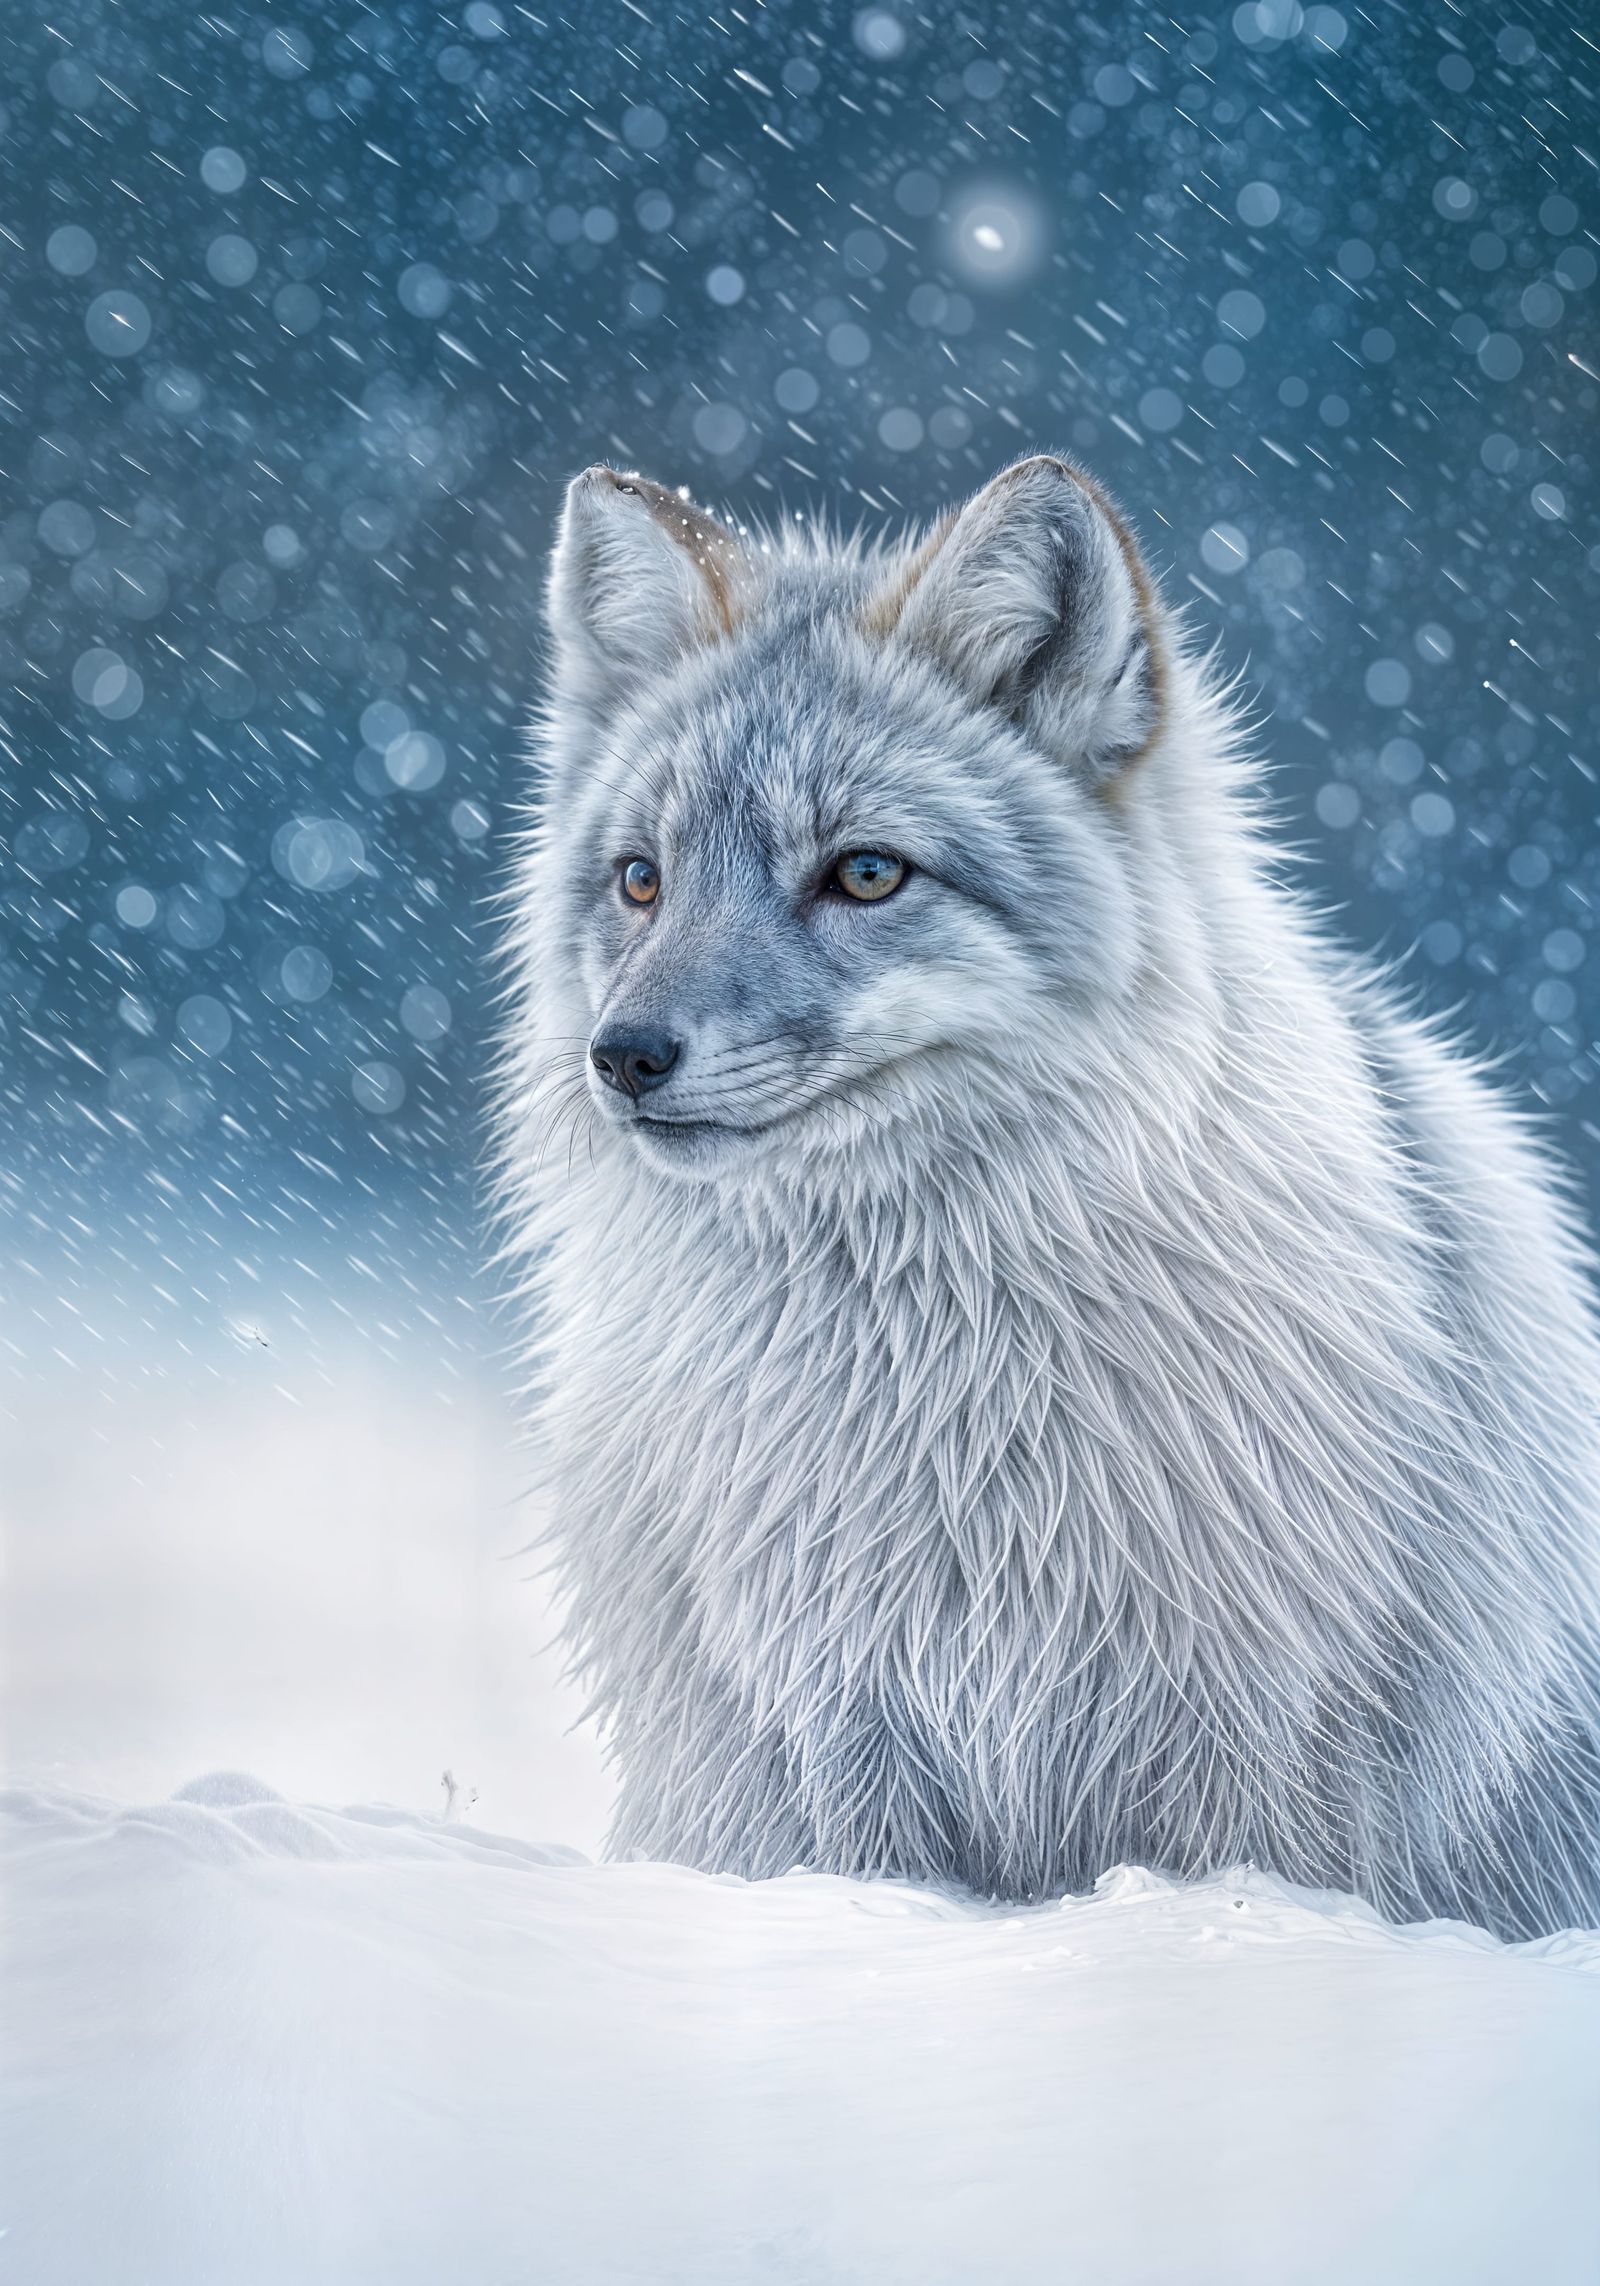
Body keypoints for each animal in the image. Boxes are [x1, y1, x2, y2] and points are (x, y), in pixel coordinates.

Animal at [497, 452, 1600, 1939]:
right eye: (639, 880)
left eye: (865, 872)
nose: (624, 1055)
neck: (933, 1414)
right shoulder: (826, 1731)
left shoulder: (1242, 1744)